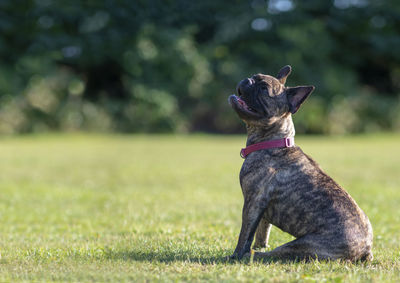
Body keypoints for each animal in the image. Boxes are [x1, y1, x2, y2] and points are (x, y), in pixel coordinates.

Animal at [228, 65, 376, 262]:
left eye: (264, 89)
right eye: (254, 76)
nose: (248, 80)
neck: (273, 142)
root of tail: (365, 249)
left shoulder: (253, 202)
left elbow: (245, 234)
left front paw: (236, 255)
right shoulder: (261, 211)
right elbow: (262, 231)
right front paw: (260, 244)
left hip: (298, 245)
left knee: (273, 254)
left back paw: (253, 255)